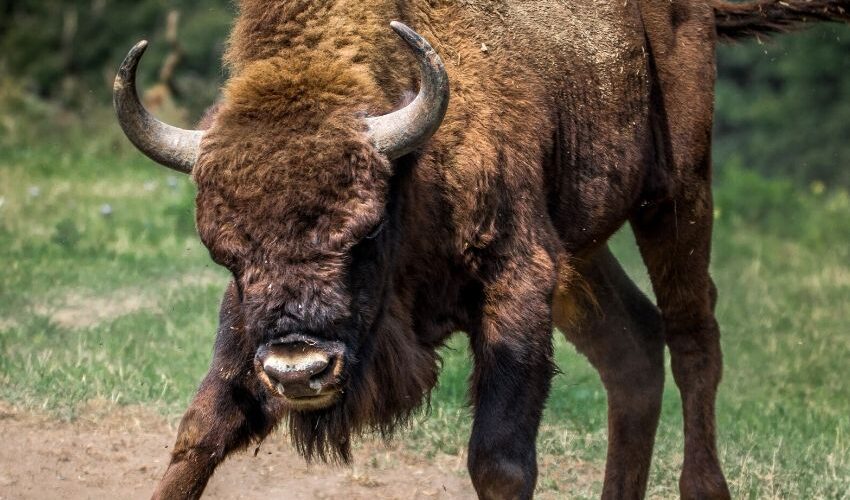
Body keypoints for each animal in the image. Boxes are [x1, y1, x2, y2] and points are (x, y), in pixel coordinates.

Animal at [112, 1, 848, 498]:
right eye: (226, 255)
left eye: (365, 233)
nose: (299, 370)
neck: (410, 162)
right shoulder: (247, 326)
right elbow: (202, 428)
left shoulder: (519, 279)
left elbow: (498, 459)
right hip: (578, 249)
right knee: (634, 347)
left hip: (677, 193)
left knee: (694, 337)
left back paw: (704, 484)